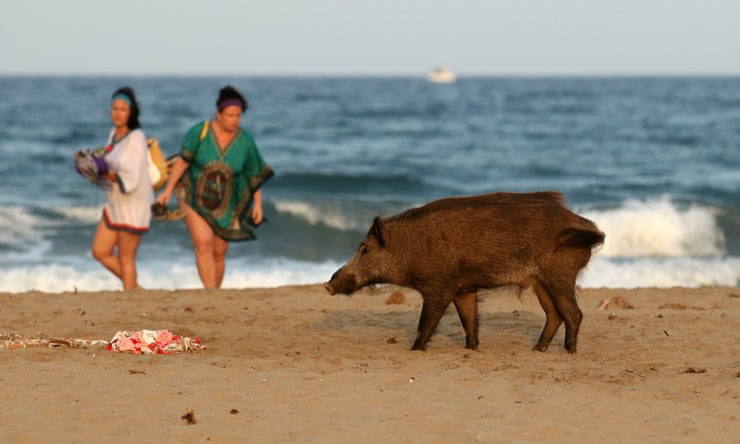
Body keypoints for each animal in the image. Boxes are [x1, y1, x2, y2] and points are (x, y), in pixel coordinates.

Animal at [324, 191, 604, 353]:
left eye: (364, 249)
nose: (328, 285)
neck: (411, 248)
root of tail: (588, 228)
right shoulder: (464, 289)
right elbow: (469, 321)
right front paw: (472, 349)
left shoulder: (440, 287)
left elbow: (426, 323)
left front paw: (415, 350)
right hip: (540, 283)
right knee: (554, 314)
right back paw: (537, 350)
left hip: (559, 276)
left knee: (573, 313)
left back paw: (569, 352)